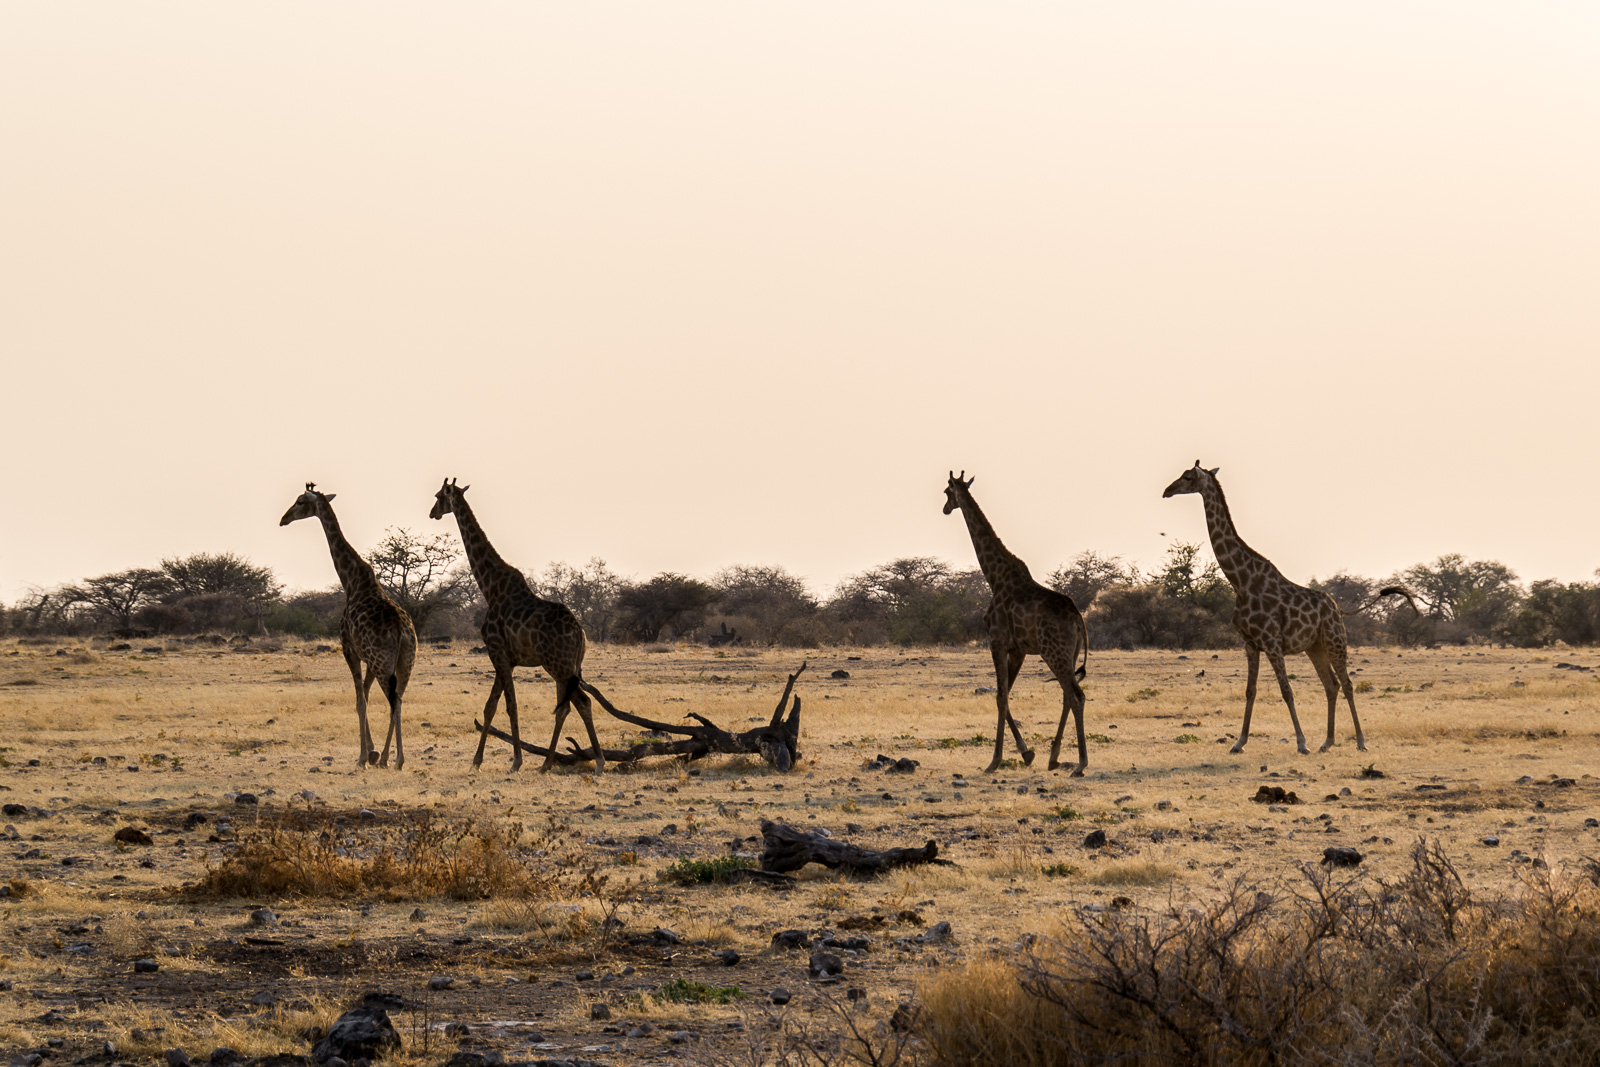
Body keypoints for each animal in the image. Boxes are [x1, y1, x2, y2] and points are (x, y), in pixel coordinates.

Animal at [283, 483, 419, 767]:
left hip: (384, 662)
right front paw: (373, 751)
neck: (351, 581)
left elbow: (359, 701)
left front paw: (362, 757)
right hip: (405, 661)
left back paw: (395, 759)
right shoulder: (366, 657)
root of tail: (402, 632)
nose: (284, 519)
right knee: (399, 699)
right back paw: (390, 758)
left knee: (393, 701)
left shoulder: (349, 649)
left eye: (300, 501)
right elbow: (365, 695)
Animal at [428, 479, 601, 771]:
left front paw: (516, 761)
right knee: (566, 706)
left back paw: (597, 761)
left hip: (558, 665)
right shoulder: (504, 658)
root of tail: (581, 634)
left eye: (439, 496)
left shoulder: (496, 651)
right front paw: (476, 761)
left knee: (582, 702)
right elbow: (491, 706)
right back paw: (547, 764)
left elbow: (510, 706)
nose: (432, 513)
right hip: (568, 666)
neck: (489, 587)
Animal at [940, 470, 1094, 771]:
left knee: (1076, 696)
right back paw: (1054, 758)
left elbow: (1000, 696)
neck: (994, 577)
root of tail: (1077, 618)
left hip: (1054, 652)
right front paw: (1027, 753)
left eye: (946, 492)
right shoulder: (1018, 650)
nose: (945, 509)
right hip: (1067, 654)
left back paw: (1080, 763)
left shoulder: (997, 642)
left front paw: (995, 760)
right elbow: (1006, 694)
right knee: (1068, 695)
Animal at [1164, 463, 1414, 755]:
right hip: (1315, 646)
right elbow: (1250, 690)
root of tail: (1338, 608)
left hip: (1335, 639)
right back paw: (1327, 742)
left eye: (1188, 477)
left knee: (1348, 684)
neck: (1241, 581)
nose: (1167, 491)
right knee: (1331, 685)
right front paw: (1239, 742)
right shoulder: (1250, 643)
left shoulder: (1272, 642)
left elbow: (1286, 690)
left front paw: (1301, 743)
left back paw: (1360, 742)